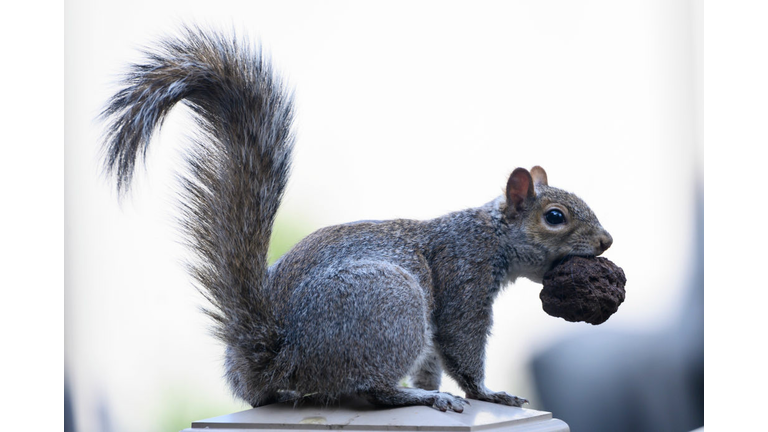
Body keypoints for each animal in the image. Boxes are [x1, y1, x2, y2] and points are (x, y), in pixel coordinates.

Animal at [100, 28, 612, 414]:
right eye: (555, 217)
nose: (606, 242)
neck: (490, 234)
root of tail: (275, 354)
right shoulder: (463, 275)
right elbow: (460, 341)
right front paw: (486, 392)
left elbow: (431, 361)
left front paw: (439, 385)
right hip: (392, 306)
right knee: (369, 390)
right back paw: (418, 398)